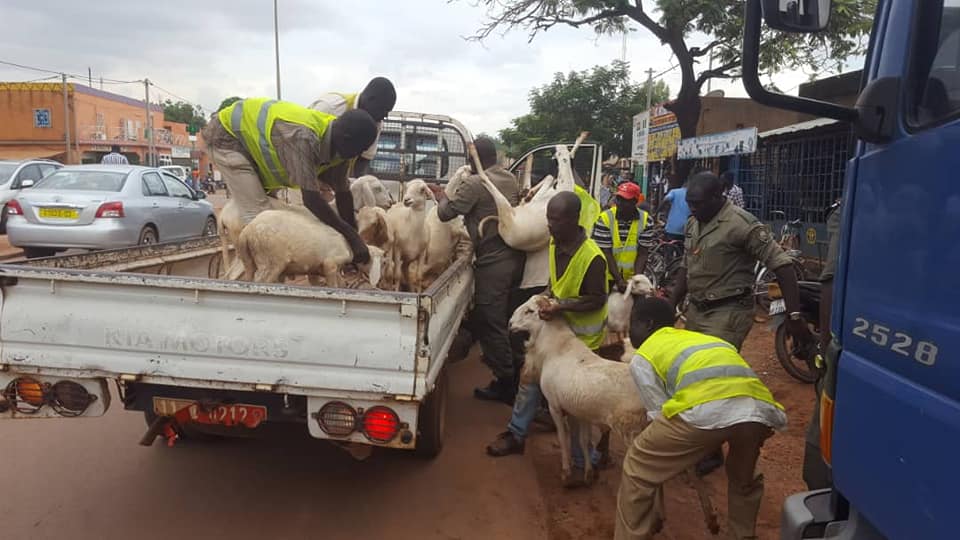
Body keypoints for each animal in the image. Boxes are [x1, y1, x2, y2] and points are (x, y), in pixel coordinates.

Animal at [236, 209, 382, 288]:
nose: (378, 282)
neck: (350, 247)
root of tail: (248, 230)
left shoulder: (317, 268)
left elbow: (336, 283)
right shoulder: (331, 263)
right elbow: (334, 285)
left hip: (249, 260)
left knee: (248, 276)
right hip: (271, 260)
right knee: (261, 280)